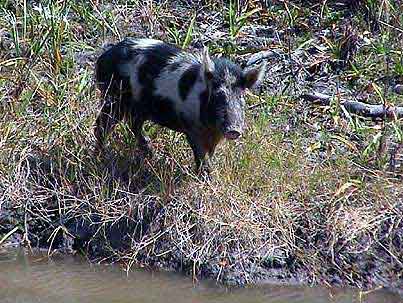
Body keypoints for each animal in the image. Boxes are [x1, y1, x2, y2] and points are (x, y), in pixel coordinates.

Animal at [93, 38, 266, 176]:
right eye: (218, 96)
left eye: (241, 96)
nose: (233, 130)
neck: (210, 125)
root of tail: (104, 57)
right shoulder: (191, 127)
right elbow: (201, 154)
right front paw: (205, 177)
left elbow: (210, 153)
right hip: (112, 97)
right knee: (101, 126)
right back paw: (101, 157)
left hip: (138, 107)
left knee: (133, 125)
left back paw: (150, 153)